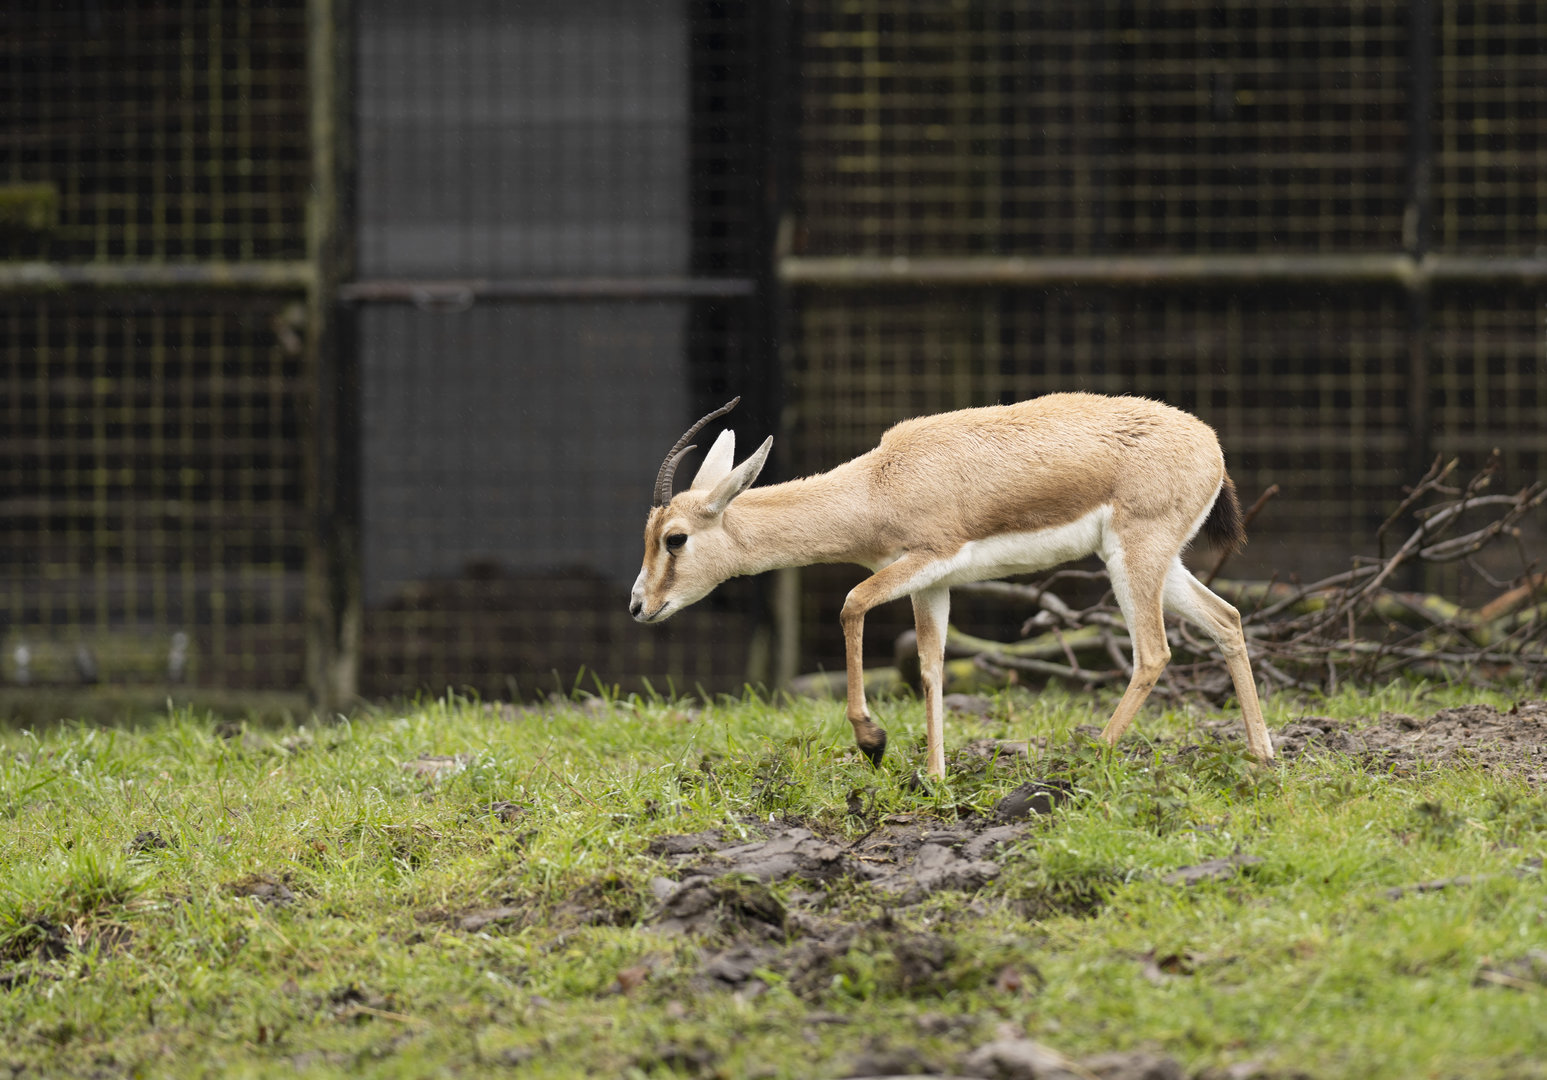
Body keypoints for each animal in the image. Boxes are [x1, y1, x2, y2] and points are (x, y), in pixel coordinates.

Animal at [631, 394, 1274, 778]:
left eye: (675, 538)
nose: (640, 605)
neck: (879, 485)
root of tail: (1210, 444)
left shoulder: (922, 559)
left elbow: (850, 605)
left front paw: (872, 741)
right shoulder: (930, 582)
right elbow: (931, 667)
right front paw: (936, 776)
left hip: (1133, 560)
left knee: (1153, 652)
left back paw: (1092, 757)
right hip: (1164, 565)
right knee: (1227, 619)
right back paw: (1262, 755)